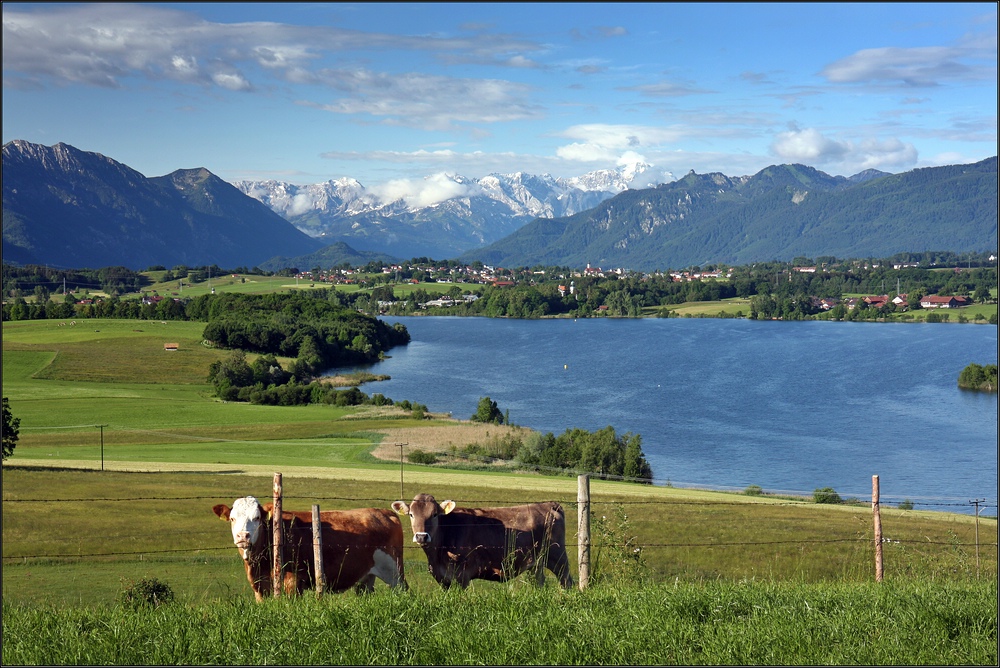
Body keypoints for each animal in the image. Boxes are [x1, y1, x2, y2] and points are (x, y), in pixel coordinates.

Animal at [214, 496, 406, 600]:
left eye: (257, 518)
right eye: (232, 519)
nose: (243, 536)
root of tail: (385, 512)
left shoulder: (293, 582)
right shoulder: (260, 588)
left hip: (394, 572)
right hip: (365, 578)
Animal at [394, 494, 576, 588]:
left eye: (434, 514)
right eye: (411, 514)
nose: (421, 536)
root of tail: (548, 504)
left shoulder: (462, 576)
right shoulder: (442, 578)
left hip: (558, 557)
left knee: (567, 581)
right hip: (536, 563)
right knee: (539, 582)